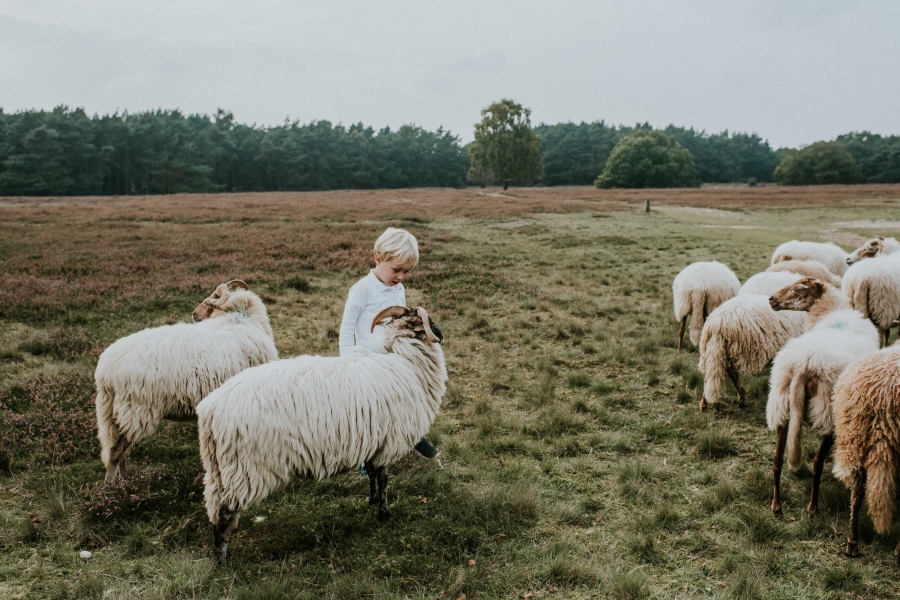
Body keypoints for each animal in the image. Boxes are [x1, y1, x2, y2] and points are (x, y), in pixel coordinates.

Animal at [93, 282, 278, 482]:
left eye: (214, 296)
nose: (194, 314)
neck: (243, 319)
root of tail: (105, 371)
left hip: (112, 413)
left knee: (118, 448)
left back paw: (125, 481)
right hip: (135, 411)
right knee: (115, 450)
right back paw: (110, 486)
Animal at [200, 308, 446, 564]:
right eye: (430, 323)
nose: (442, 337)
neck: (404, 359)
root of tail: (210, 409)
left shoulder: (373, 439)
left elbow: (370, 473)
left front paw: (372, 502)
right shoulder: (388, 442)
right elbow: (383, 478)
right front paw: (385, 514)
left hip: (220, 469)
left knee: (215, 508)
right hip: (246, 467)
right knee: (226, 512)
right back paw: (222, 562)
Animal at [768, 276, 880, 516]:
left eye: (798, 289)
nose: (771, 299)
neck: (831, 311)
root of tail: (803, 365)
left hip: (780, 404)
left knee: (777, 458)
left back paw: (776, 505)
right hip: (830, 411)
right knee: (817, 462)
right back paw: (812, 507)